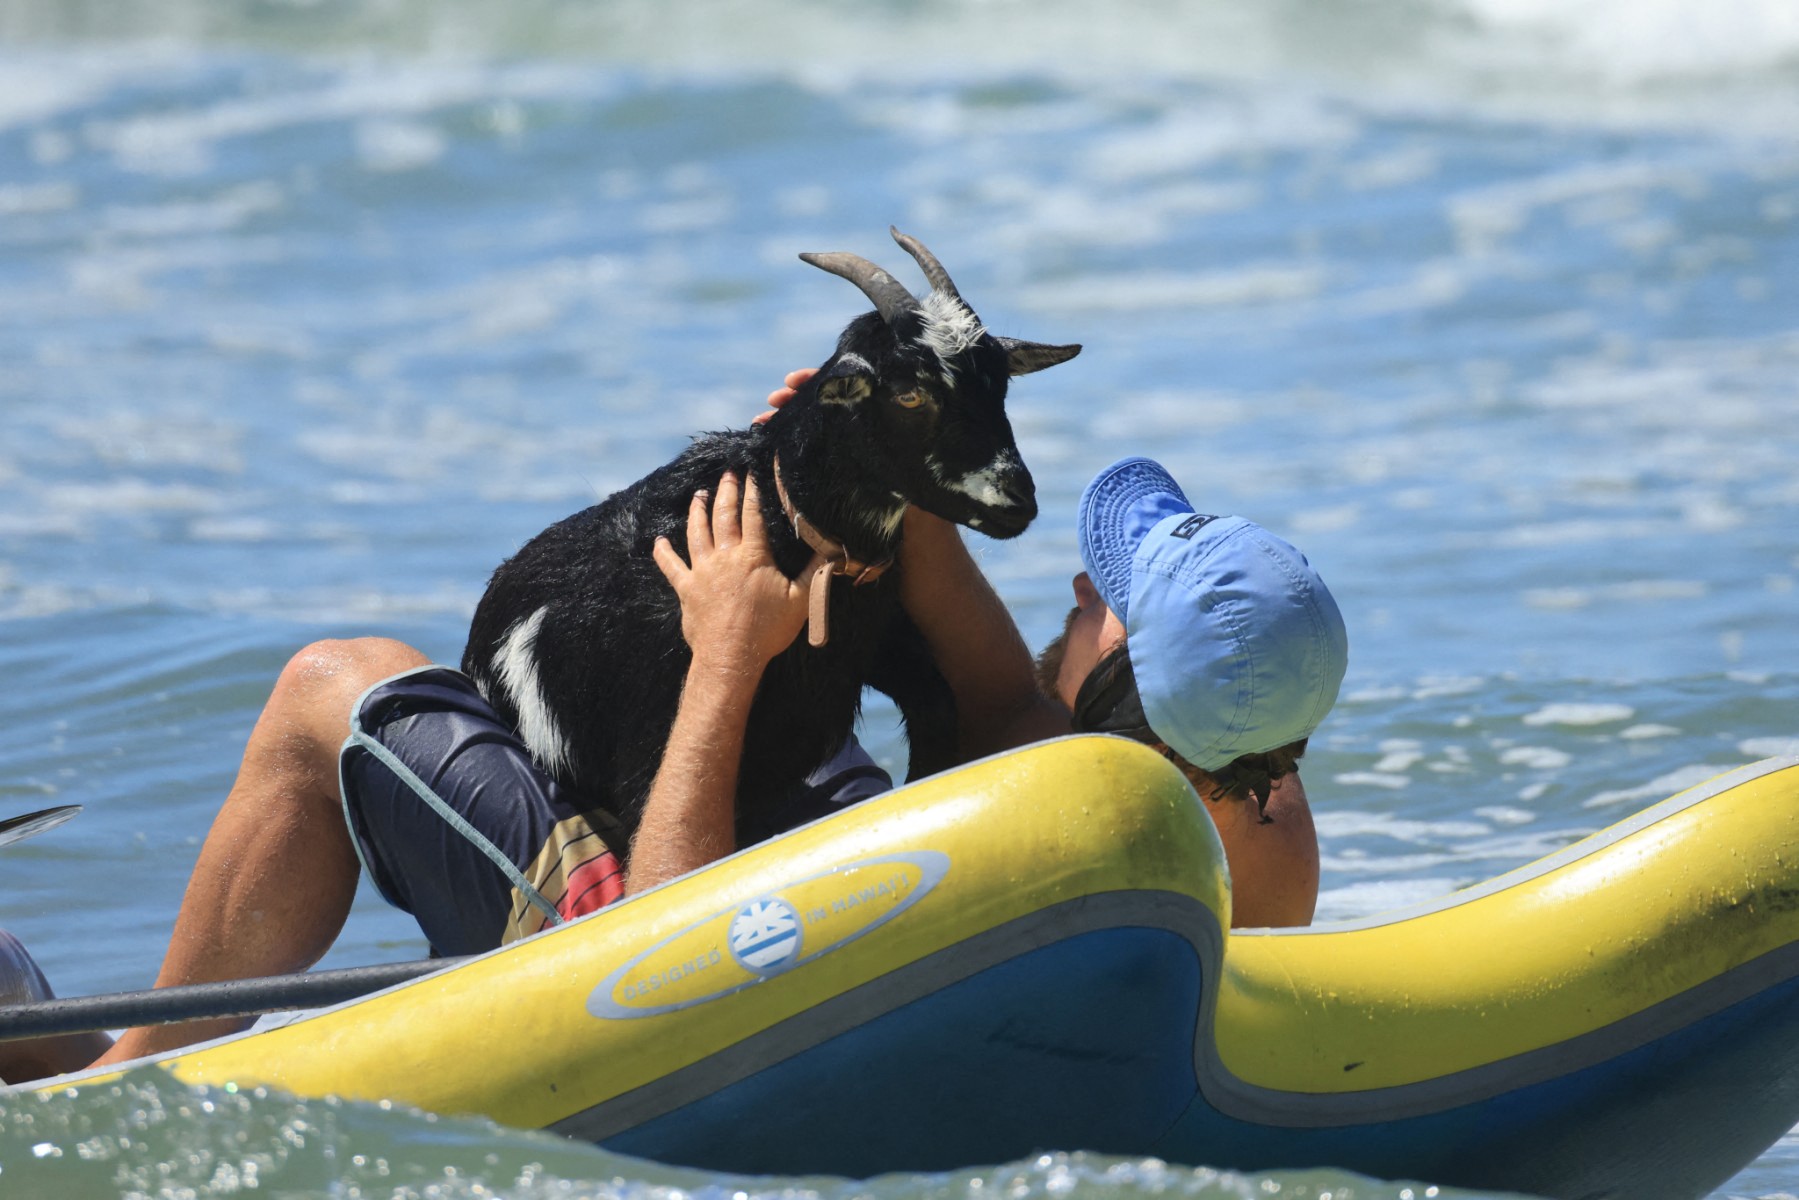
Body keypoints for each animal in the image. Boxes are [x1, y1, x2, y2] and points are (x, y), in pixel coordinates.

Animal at [463, 228, 1080, 845]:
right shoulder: (650, 749)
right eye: (910, 394)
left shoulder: (863, 646)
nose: (1018, 498)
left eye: (1000, 385)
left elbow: (937, 708)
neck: (783, 517)